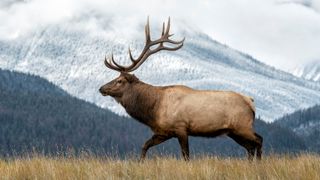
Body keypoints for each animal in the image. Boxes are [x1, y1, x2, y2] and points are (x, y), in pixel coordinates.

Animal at [99, 17, 262, 161]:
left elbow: (185, 155)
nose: (101, 88)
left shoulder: (181, 127)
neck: (154, 109)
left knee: (258, 140)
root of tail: (251, 101)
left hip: (243, 125)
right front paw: (140, 163)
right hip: (233, 131)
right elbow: (144, 146)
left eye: (119, 81)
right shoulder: (163, 132)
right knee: (250, 147)